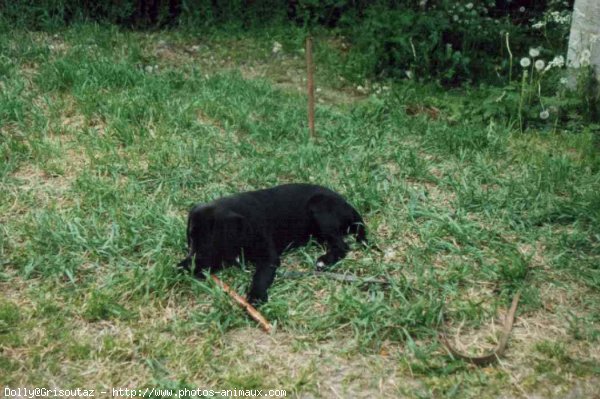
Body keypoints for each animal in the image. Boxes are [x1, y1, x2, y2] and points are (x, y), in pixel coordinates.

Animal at [178, 184, 366, 306]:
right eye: (191, 239)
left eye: (209, 243)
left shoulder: (268, 257)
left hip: (320, 208)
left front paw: (255, 296)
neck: (245, 224)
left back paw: (324, 261)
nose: (190, 266)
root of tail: (348, 205)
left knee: (342, 246)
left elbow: (260, 277)